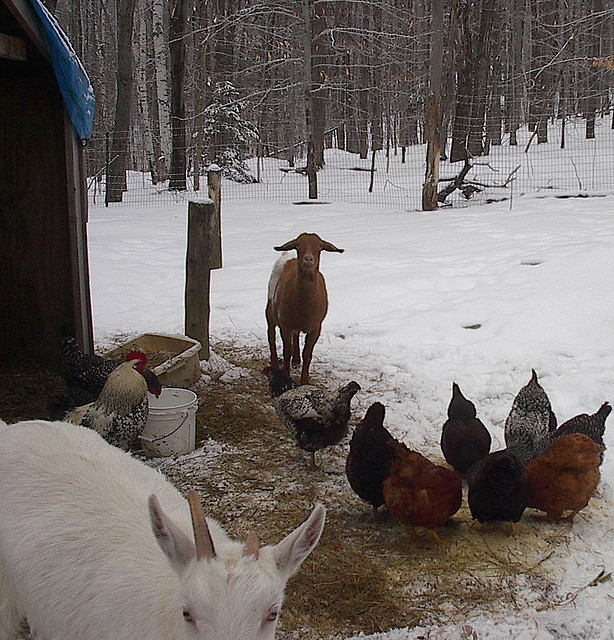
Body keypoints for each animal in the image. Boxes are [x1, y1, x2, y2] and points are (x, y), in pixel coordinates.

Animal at [266, 235, 346, 384]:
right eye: (298, 244)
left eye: (320, 245)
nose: (308, 259)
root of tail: (287, 256)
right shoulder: (285, 325)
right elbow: (287, 351)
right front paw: (286, 375)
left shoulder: (316, 327)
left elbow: (307, 354)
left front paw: (305, 380)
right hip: (270, 308)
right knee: (271, 334)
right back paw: (274, 362)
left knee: (296, 335)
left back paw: (296, 360)